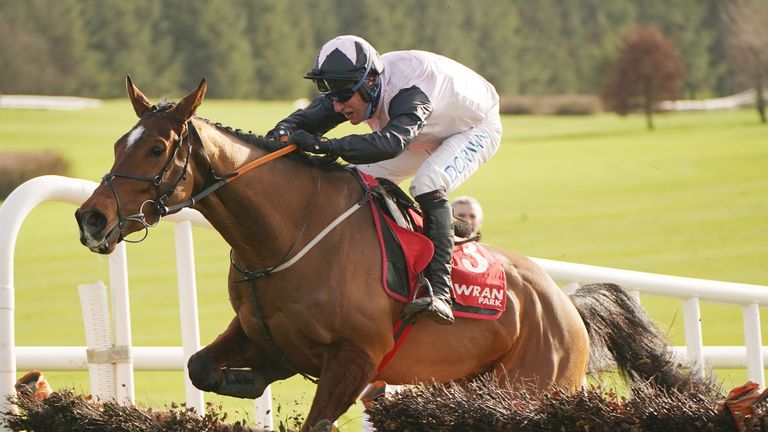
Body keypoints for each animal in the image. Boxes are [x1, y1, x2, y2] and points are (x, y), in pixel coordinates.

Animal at [76, 78, 704, 432]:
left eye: (157, 147)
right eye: (119, 143)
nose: (92, 218)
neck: (289, 234)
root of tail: (566, 305)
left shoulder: (356, 360)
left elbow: (319, 421)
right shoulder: (258, 332)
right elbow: (200, 366)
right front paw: (253, 380)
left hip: (535, 389)